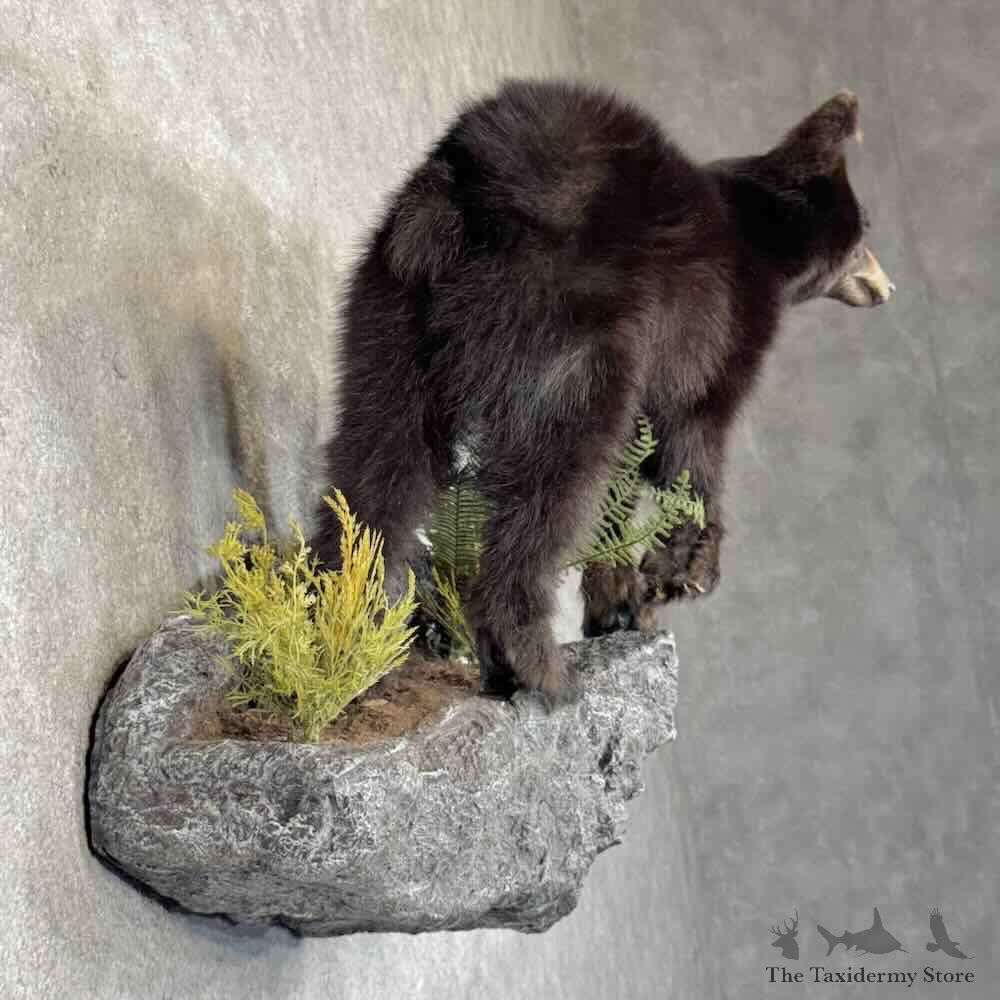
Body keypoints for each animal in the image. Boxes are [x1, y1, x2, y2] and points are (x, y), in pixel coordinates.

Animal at [313, 79, 893, 697]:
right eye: (864, 232)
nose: (887, 285)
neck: (760, 243)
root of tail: (473, 187)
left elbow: (625, 483)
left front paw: (620, 601)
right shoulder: (715, 339)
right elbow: (689, 448)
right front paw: (685, 568)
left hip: (391, 314)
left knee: (375, 457)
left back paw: (343, 618)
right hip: (568, 338)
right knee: (550, 487)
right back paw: (532, 661)